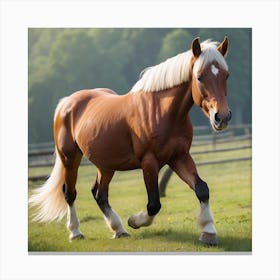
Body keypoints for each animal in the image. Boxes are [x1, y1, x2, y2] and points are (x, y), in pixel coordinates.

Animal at [28, 36, 231, 245]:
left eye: (226, 75)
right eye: (199, 77)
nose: (221, 117)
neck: (162, 111)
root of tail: (66, 103)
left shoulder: (179, 157)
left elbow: (202, 189)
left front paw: (208, 232)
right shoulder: (149, 162)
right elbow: (153, 204)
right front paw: (134, 220)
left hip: (106, 165)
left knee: (100, 194)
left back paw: (118, 229)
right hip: (70, 158)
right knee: (70, 193)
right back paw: (76, 232)